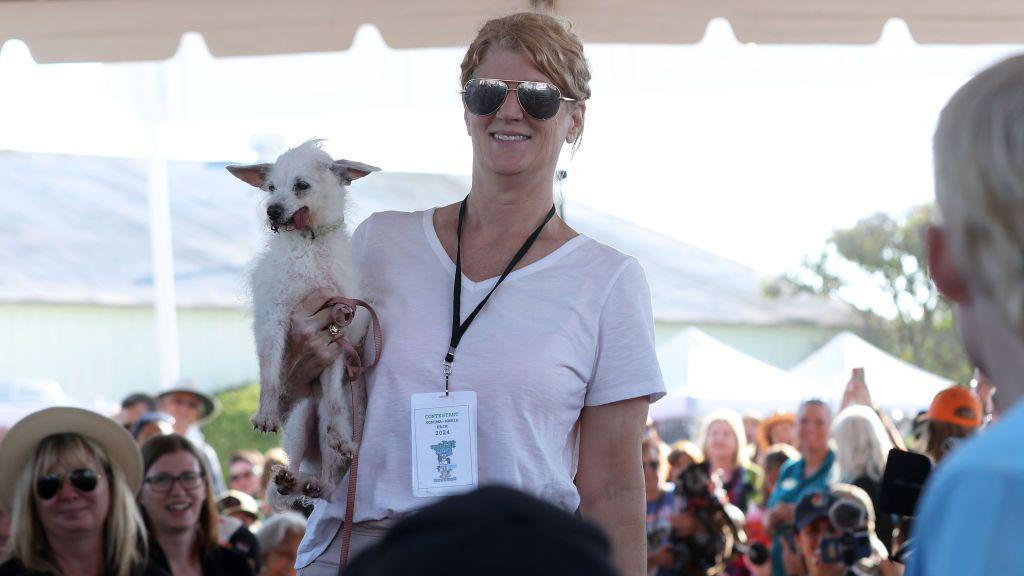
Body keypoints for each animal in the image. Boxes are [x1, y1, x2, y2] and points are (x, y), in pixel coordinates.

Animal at [228, 139, 380, 502]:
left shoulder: (336, 335)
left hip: (320, 427)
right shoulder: (274, 320)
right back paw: (290, 479)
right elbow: (269, 373)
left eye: (301, 185)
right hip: (300, 420)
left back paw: (329, 460)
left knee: (328, 478)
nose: (272, 210)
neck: (308, 244)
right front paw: (266, 413)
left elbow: (336, 400)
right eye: (270, 188)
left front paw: (340, 433)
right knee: (298, 465)